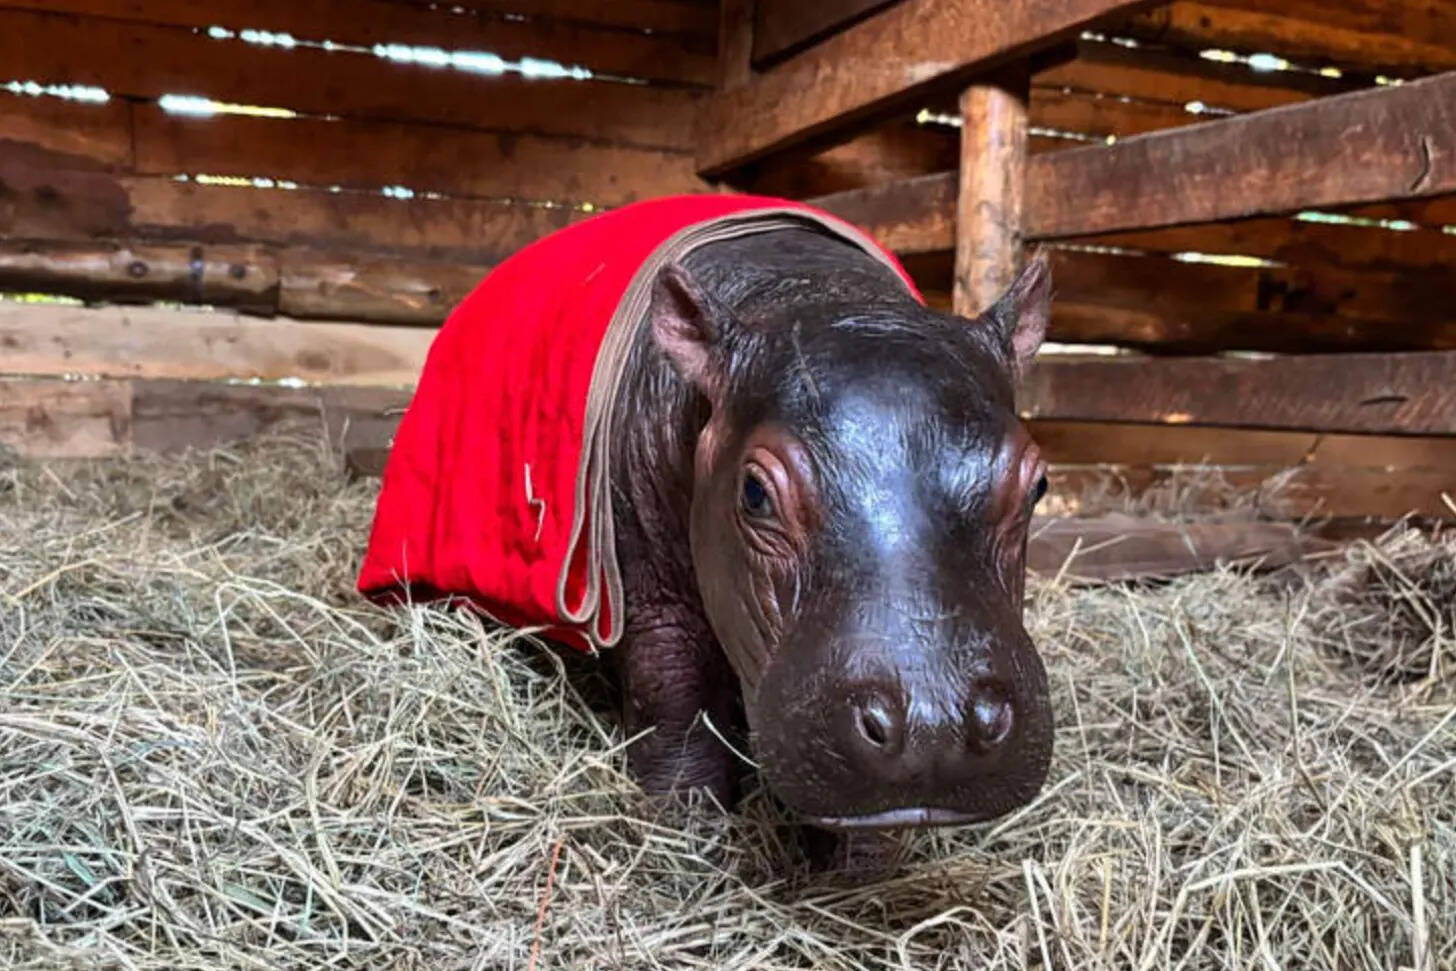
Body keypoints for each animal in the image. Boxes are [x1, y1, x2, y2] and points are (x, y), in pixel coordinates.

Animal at [358, 195, 1053, 861]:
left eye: (1038, 483)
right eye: (754, 492)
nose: (936, 723)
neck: (817, 294)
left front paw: (860, 870)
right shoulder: (650, 589)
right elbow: (673, 690)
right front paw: (687, 832)